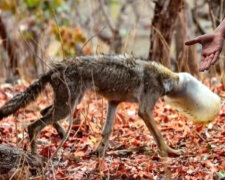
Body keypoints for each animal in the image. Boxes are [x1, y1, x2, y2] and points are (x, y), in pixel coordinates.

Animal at [0, 54, 200, 156]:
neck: (162, 77)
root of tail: (56, 67)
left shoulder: (113, 102)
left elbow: (107, 131)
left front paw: (99, 154)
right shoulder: (144, 111)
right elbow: (159, 135)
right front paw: (171, 152)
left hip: (69, 106)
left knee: (42, 112)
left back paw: (62, 134)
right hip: (67, 108)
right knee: (33, 126)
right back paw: (35, 157)